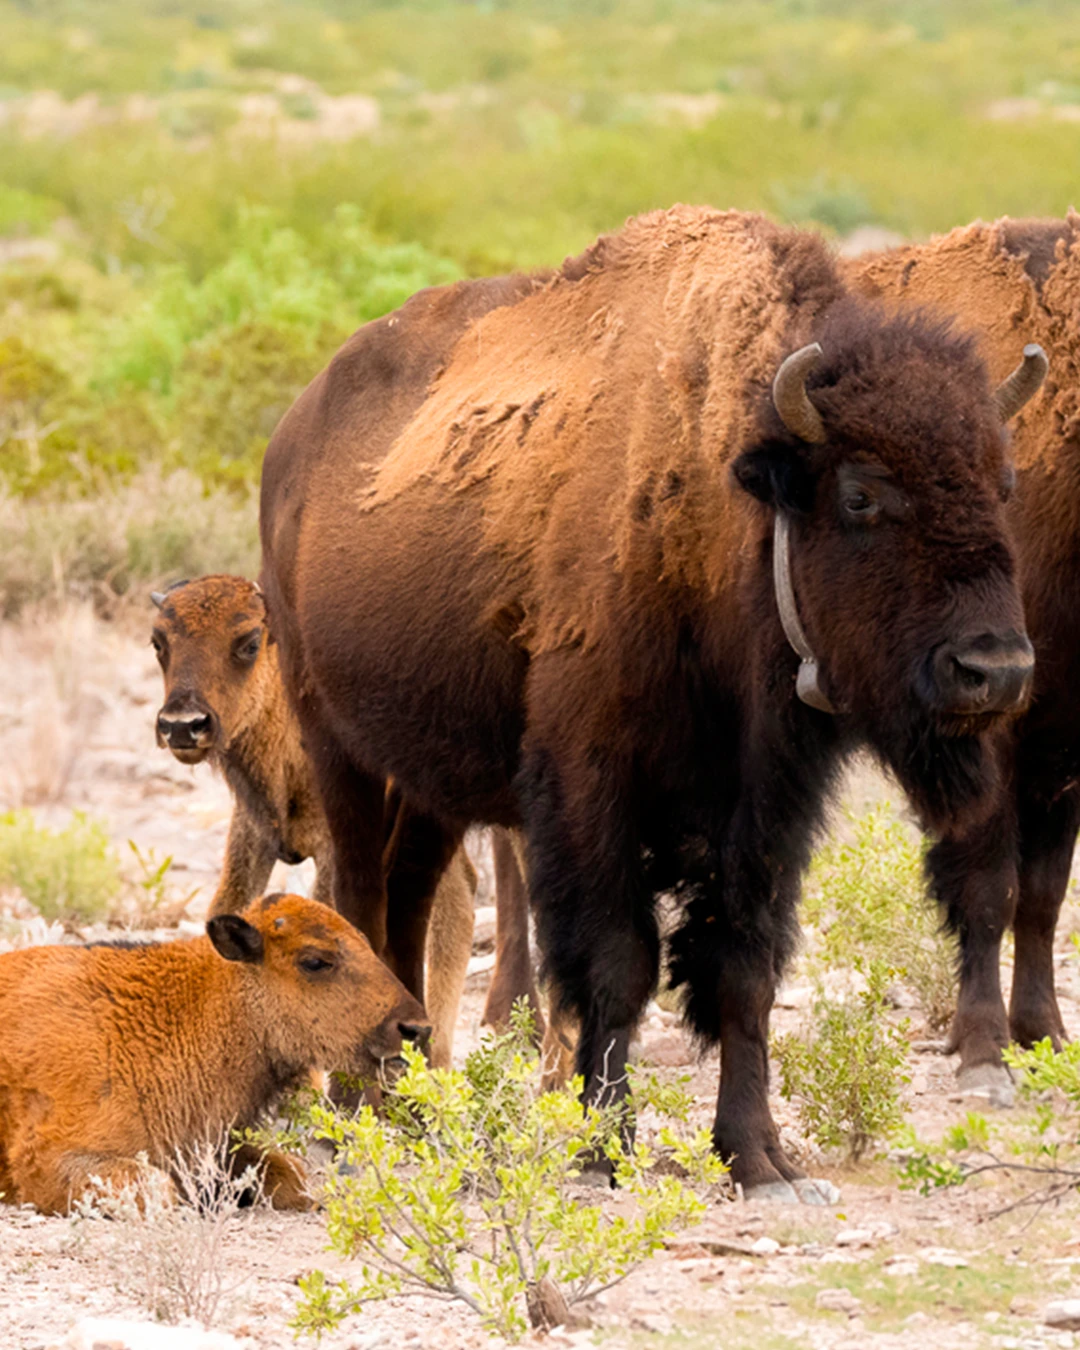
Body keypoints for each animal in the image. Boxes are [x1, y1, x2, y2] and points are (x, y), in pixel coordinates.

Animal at [149, 575, 475, 1069]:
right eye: (158, 642)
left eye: (248, 641)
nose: (182, 725)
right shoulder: (252, 832)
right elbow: (225, 910)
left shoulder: (333, 848)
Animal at [261, 205, 1047, 1198]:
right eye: (863, 493)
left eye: (1004, 483)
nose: (997, 670)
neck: (723, 493)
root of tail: (291, 442)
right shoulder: (590, 786)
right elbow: (617, 964)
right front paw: (605, 1150)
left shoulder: (767, 806)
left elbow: (745, 970)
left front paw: (760, 1159)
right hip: (337, 741)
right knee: (360, 895)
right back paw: (359, 1123)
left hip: (434, 776)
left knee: (404, 897)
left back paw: (410, 1114)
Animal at [853, 210, 1080, 1096]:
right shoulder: (993, 724)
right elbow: (989, 886)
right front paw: (983, 1050)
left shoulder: (1061, 740)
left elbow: (1043, 895)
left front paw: (1045, 1034)